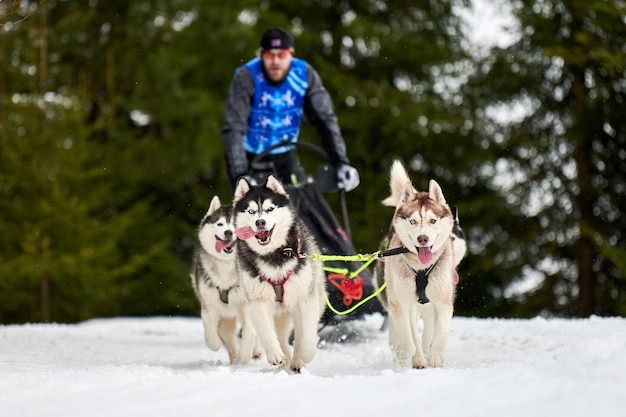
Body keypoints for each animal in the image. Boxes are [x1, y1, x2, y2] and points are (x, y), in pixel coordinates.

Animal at [190, 195, 258, 364]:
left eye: (235, 224)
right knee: (229, 341)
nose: (228, 232)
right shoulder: (209, 305)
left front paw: (246, 353)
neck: (227, 265)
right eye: (220, 224)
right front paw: (214, 343)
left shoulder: (247, 305)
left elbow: (250, 331)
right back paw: (234, 361)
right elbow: (210, 333)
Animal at [230, 174, 326, 372]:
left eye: (270, 208)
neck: (274, 256)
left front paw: (306, 354)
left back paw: (297, 360)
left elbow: (308, 332)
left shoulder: (305, 298)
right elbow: (267, 332)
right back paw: (286, 359)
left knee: (301, 331)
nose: (260, 222)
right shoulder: (258, 302)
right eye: (251, 211)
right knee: (279, 335)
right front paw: (276, 356)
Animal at [372, 160, 466, 368]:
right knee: (399, 334)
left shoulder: (442, 302)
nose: (423, 239)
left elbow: (438, 332)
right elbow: (409, 337)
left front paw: (435, 357)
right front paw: (413, 355)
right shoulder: (402, 303)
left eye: (433, 220)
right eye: (413, 221)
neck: (421, 269)